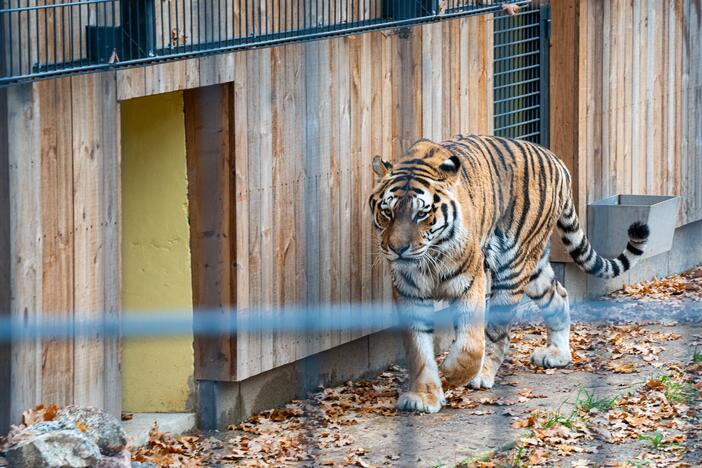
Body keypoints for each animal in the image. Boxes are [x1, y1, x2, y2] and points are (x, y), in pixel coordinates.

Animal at [372, 135, 652, 414]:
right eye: (387, 212)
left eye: (422, 214)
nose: (398, 249)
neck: (430, 258)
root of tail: (557, 160)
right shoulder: (409, 290)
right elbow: (419, 349)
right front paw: (423, 396)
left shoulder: (472, 280)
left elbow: (471, 344)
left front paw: (453, 373)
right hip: (535, 268)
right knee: (558, 295)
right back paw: (557, 354)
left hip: (513, 266)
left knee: (498, 333)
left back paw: (482, 375)